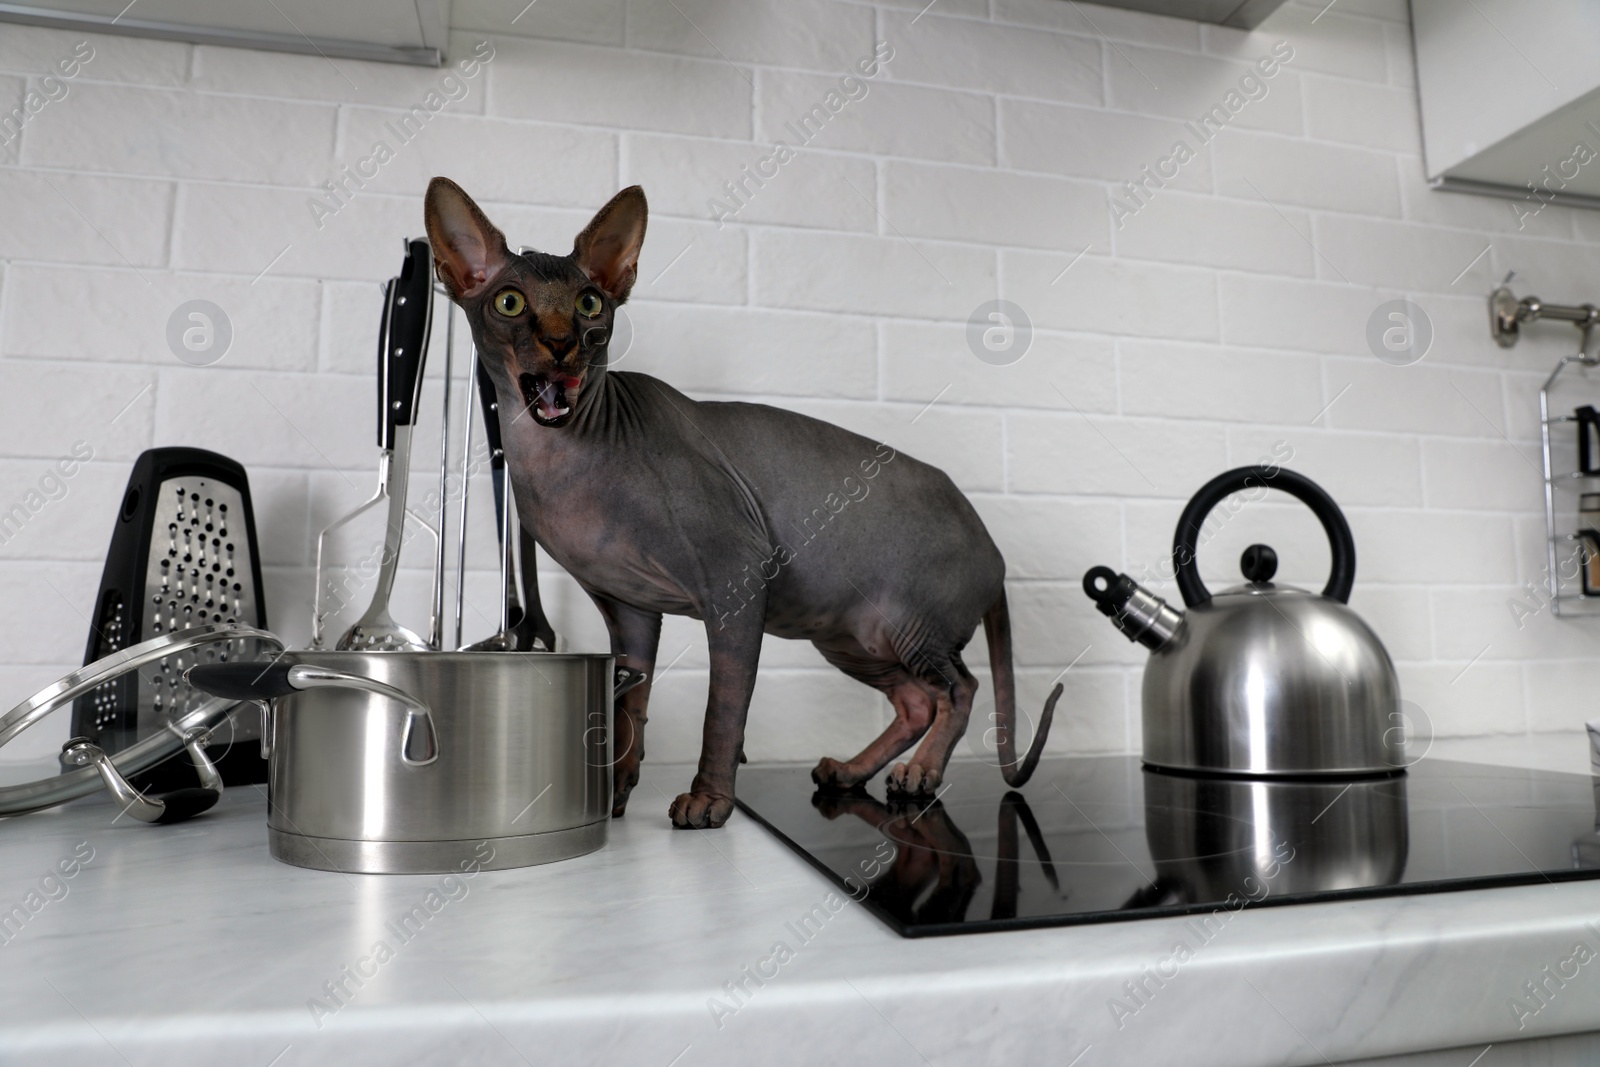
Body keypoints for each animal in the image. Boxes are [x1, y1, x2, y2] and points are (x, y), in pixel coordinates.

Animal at [422, 175, 1062, 831]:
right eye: (509, 303)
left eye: (589, 304)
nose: (560, 344)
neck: (562, 461)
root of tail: (993, 546)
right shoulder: (629, 608)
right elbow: (631, 706)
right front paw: (617, 791)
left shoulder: (737, 576)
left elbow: (723, 708)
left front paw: (708, 800)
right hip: (855, 637)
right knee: (914, 700)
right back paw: (851, 771)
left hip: (910, 624)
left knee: (959, 689)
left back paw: (921, 773)